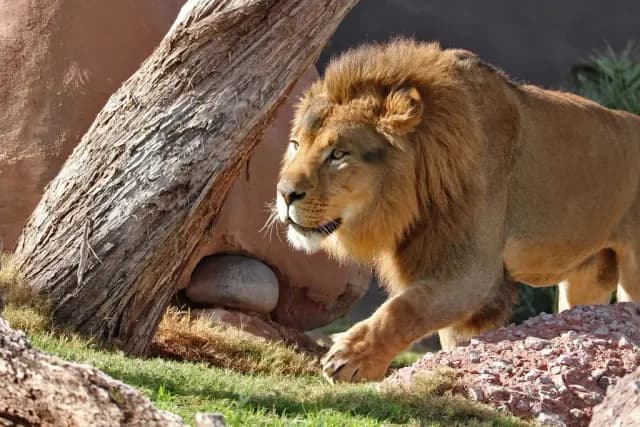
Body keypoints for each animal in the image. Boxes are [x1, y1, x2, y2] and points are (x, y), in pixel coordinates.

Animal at [275, 39, 640, 383]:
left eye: (338, 154)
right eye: (295, 145)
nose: (284, 194)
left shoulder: (473, 270)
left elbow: (405, 308)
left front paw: (352, 357)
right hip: (586, 279)